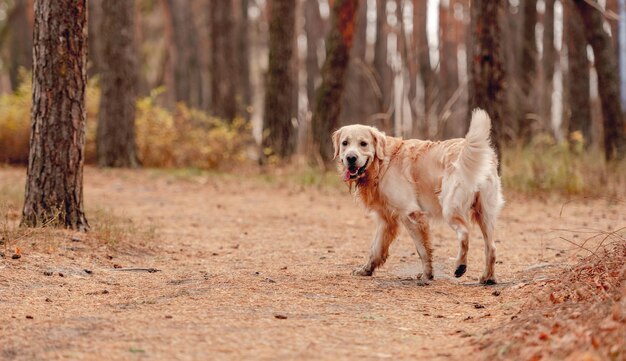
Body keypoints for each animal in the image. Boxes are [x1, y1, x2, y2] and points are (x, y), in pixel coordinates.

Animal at [332, 108, 502, 282]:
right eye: (345, 143)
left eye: (363, 144)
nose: (350, 158)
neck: (383, 163)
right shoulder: (386, 219)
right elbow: (375, 248)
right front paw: (365, 270)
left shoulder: (411, 214)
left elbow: (422, 250)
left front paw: (427, 275)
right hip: (484, 214)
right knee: (492, 248)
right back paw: (488, 278)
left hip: (450, 208)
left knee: (464, 234)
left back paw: (460, 266)